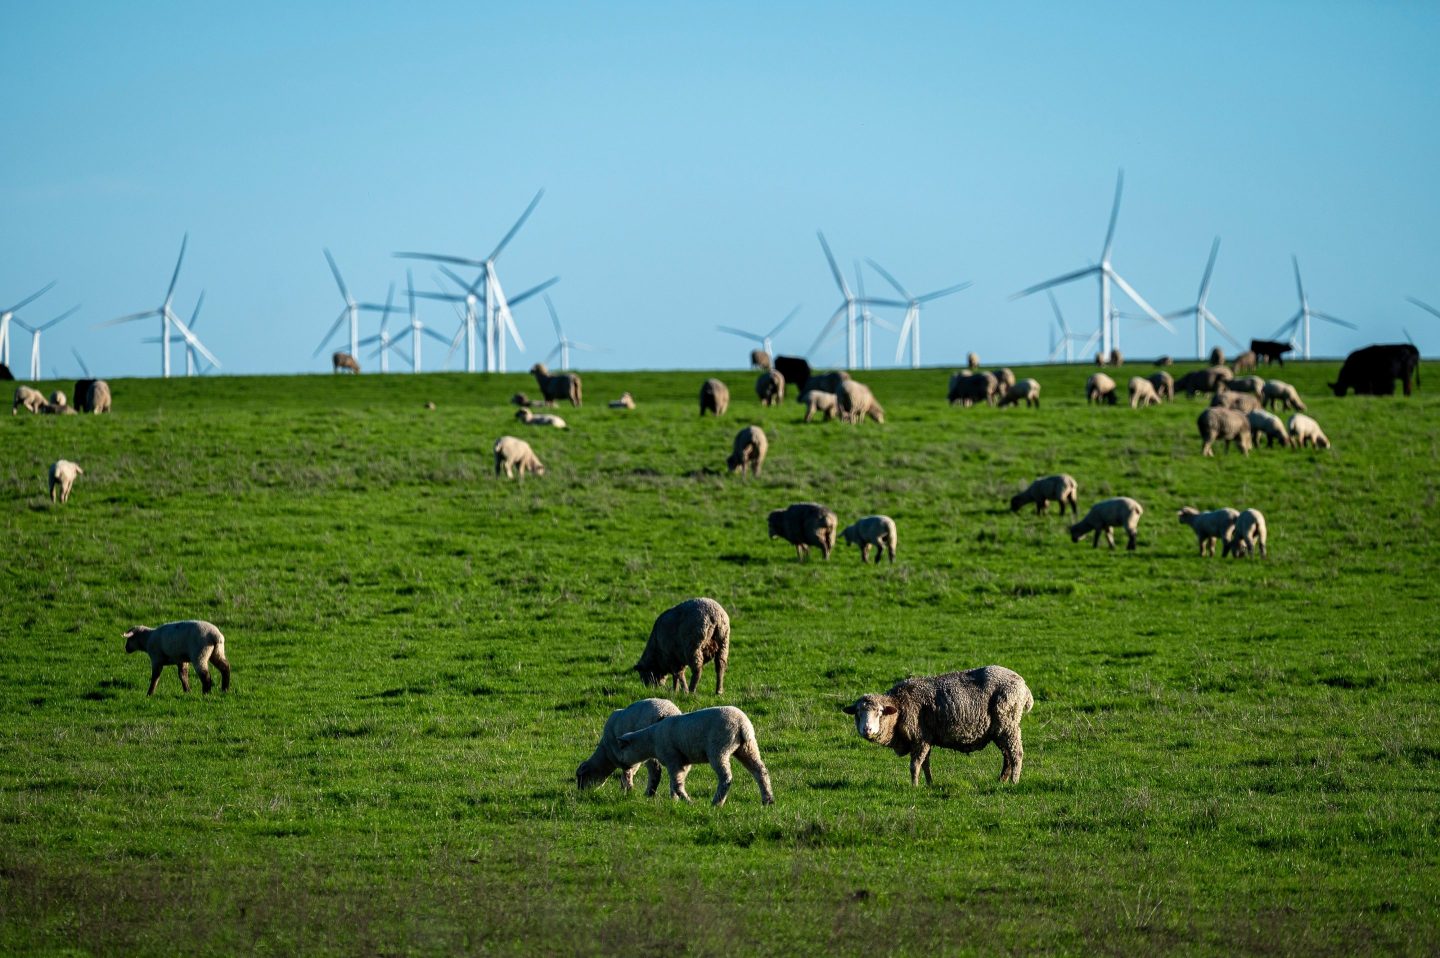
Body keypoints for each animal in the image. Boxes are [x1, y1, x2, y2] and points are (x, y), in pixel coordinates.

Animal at [615, 706, 774, 806]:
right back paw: (768, 800)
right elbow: (677, 781)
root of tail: (742, 725)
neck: (651, 740)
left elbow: (677, 783)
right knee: (760, 771)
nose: (623, 767)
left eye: (621, 748)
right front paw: (674, 800)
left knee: (726, 777)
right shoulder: (683, 761)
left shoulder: (672, 758)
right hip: (748, 747)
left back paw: (716, 803)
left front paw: (687, 801)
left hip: (718, 748)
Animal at [842, 666, 1034, 785]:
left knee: (1016, 754)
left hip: (1008, 724)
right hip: (998, 730)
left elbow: (915, 765)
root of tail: (1024, 686)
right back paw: (1002, 780)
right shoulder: (925, 739)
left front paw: (914, 786)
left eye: (880, 712)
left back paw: (1014, 782)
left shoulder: (920, 738)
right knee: (1007, 756)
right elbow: (925, 764)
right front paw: (929, 784)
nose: (867, 729)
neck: (900, 706)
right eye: (858, 712)